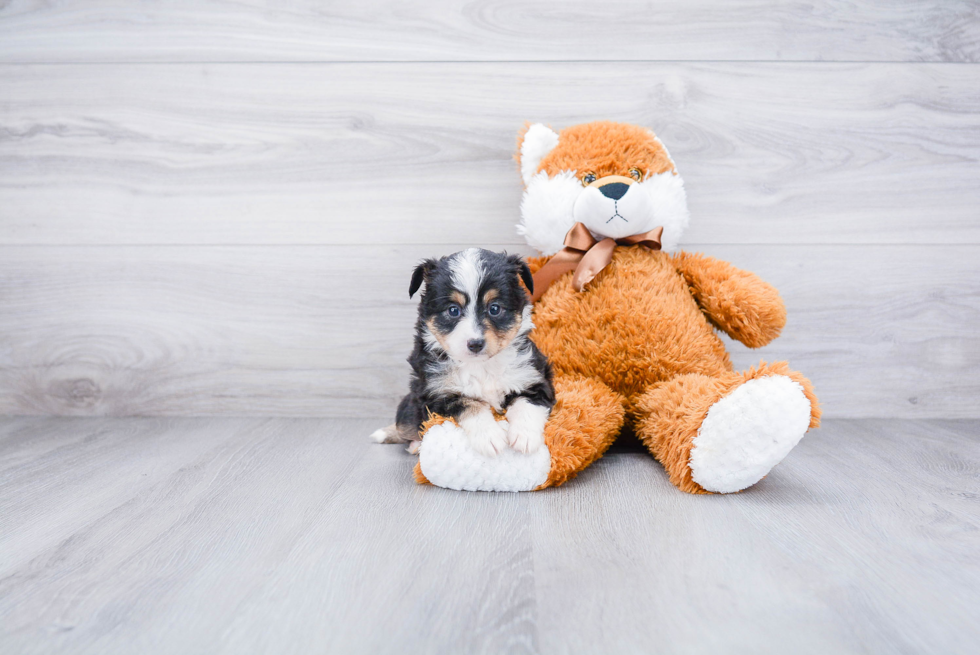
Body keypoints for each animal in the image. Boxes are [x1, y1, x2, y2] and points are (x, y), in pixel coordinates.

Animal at [370, 249, 556, 458]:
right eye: (453, 310)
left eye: (494, 308)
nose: (475, 344)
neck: (481, 365)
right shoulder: (438, 394)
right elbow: (471, 405)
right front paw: (489, 437)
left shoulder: (534, 378)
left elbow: (526, 404)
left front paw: (525, 437)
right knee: (405, 425)